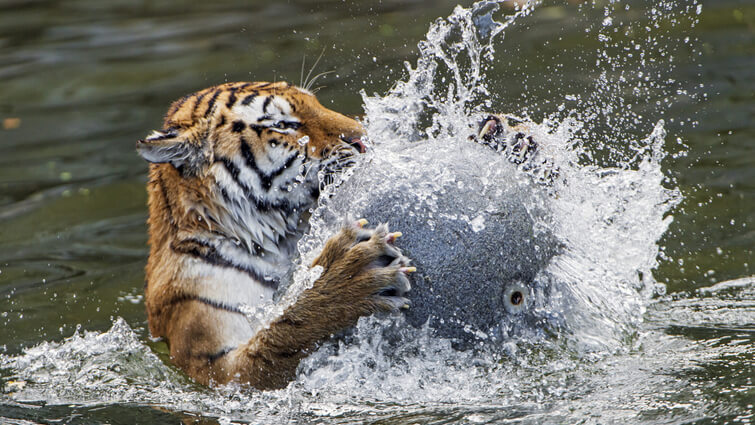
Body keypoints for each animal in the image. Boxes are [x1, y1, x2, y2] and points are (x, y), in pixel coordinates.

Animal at [138, 81, 416, 390]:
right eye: (282, 125)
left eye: (316, 103)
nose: (363, 138)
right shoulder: (216, 369)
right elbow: (282, 335)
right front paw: (351, 275)